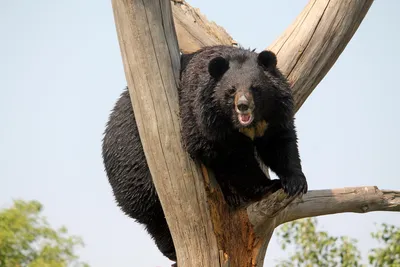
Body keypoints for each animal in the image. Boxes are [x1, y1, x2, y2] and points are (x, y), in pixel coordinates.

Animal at [101, 45, 308, 266]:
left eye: (255, 88)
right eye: (231, 90)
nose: (243, 106)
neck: (244, 125)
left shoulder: (275, 114)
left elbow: (279, 143)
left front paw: (295, 183)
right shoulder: (202, 118)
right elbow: (233, 158)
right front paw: (267, 186)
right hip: (137, 171)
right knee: (155, 217)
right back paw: (173, 251)